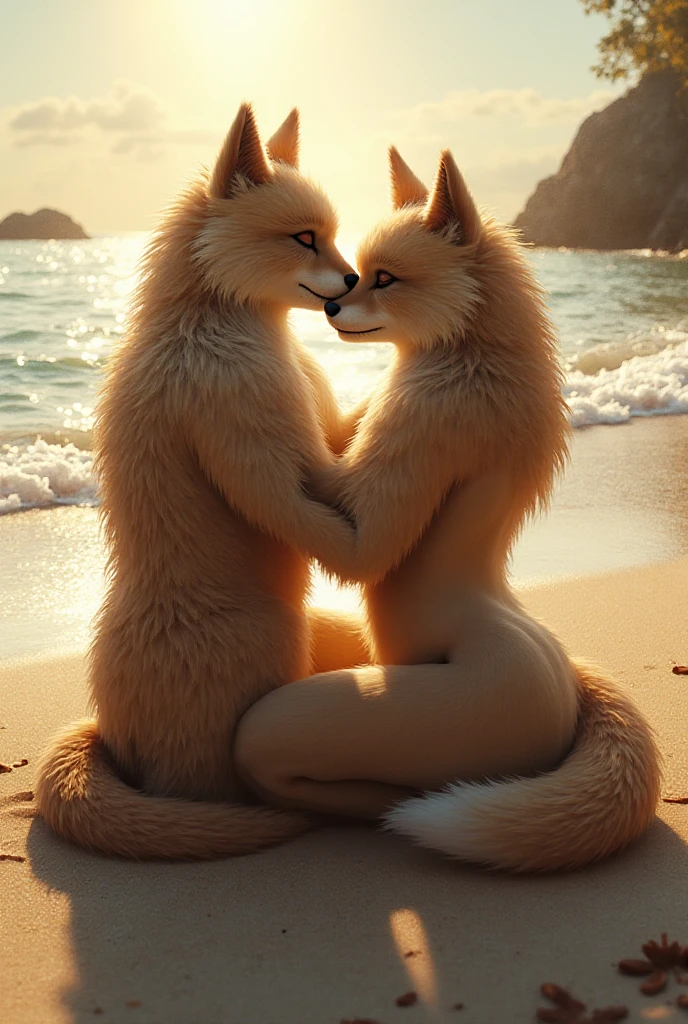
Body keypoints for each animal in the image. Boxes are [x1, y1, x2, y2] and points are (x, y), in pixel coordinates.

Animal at [35, 104, 370, 860]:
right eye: (304, 238)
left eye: (331, 235)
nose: (355, 282)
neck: (207, 325)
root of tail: (115, 733)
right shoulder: (256, 450)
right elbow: (306, 508)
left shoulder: (317, 435)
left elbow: (352, 430)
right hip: (268, 657)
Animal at [234, 147, 661, 871]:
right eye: (359, 273)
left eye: (384, 277)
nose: (331, 305)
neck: (472, 353)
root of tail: (563, 690)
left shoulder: (429, 419)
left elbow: (361, 541)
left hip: (393, 716)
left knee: (279, 749)